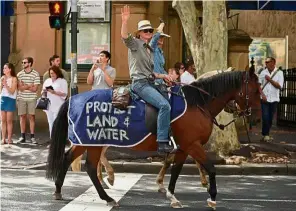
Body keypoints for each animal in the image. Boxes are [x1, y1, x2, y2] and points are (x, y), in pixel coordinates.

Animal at [45, 69, 260, 209]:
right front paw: (212, 197)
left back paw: (60, 191)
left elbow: (176, 170)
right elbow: (210, 167)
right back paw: (106, 195)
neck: (198, 103)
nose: (256, 118)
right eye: (256, 90)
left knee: (71, 160)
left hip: (87, 141)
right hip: (92, 141)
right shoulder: (192, 145)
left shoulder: (183, 147)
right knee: (88, 165)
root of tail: (74, 99)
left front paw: (172, 195)